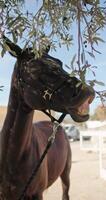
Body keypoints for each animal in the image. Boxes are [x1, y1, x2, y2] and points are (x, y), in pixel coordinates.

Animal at [0, 36, 94, 200]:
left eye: (59, 63)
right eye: (34, 69)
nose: (86, 91)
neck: (12, 158)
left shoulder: (37, 194)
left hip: (65, 175)